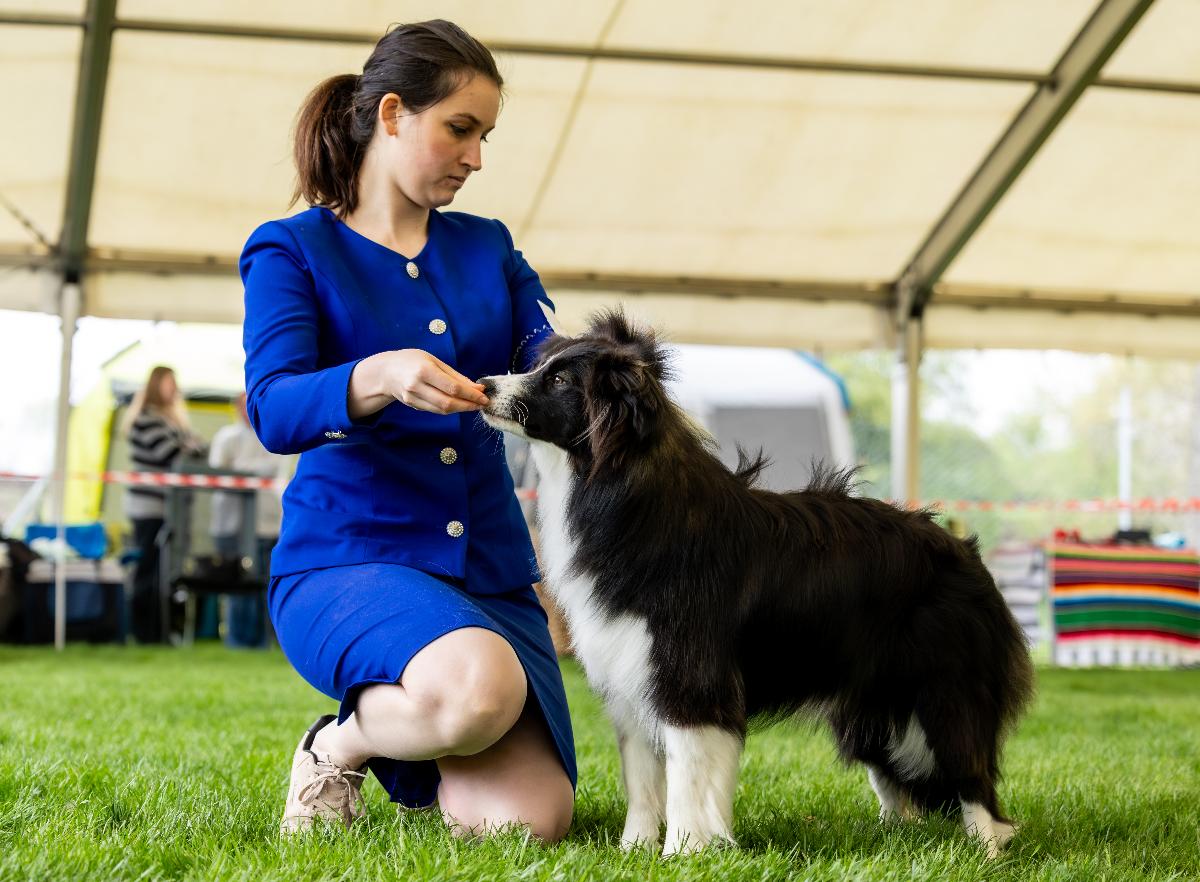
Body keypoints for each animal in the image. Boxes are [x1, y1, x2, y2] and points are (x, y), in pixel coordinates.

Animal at [479, 309, 1033, 858]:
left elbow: (687, 778)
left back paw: (985, 849)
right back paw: (897, 835)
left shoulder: (690, 677)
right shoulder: (631, 673)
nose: (484, 385)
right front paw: (634, 851)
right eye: (541, 365)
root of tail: (967, 555)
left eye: (559, 380)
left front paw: (683, 852)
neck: (622, 487)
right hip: (873, 705)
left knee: (973, 773)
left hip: (946, 688)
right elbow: (641, 778)